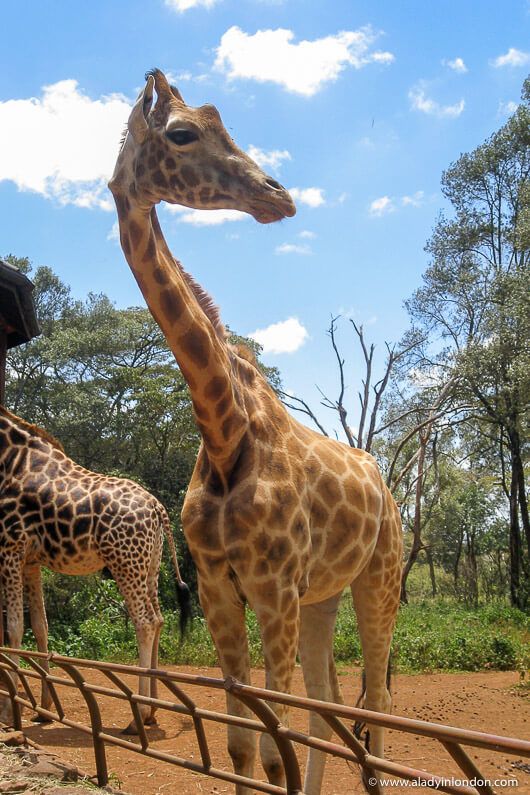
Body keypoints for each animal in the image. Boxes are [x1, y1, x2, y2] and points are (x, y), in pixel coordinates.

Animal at [0, 405, 190, 733]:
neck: (9, 461)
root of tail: (158, 510)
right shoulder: (30, 560)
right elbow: (40, 627)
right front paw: (43, 709)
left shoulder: (10, 547)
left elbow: (13, 629)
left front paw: (11, 714)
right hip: (149, 565)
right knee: (159, 618)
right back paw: (152, 711)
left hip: (125, 562)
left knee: (145, 622)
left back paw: (138, 717)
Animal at [109, 69, 402, 794]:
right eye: (182, 133)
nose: (278, 196)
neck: (223, 432)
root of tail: (385, 483)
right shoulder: (221, 587)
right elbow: (243, 744)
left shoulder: (273, 587)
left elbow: (275, 750)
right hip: (324, 594)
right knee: (328, 699)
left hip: (379, 575)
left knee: (376, 697)